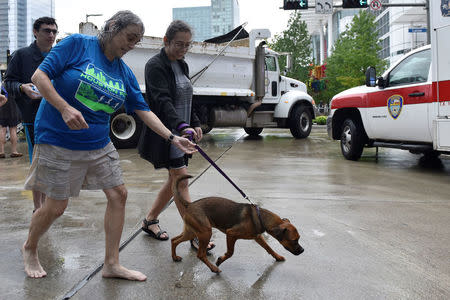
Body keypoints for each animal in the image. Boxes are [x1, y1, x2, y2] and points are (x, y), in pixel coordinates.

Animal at [171, 175, 304, 274]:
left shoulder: (257, 237)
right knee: (200, 254)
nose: (302, 250)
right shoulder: (231, 234)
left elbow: (268, 248)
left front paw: (277, 257)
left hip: (192, 232)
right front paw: (220, 260)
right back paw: (214, 268)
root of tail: (190, 204)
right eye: (294, 240)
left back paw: (175, 257)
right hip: (205, 233)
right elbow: (230, 252)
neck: (261, 217)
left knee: (174, 240)